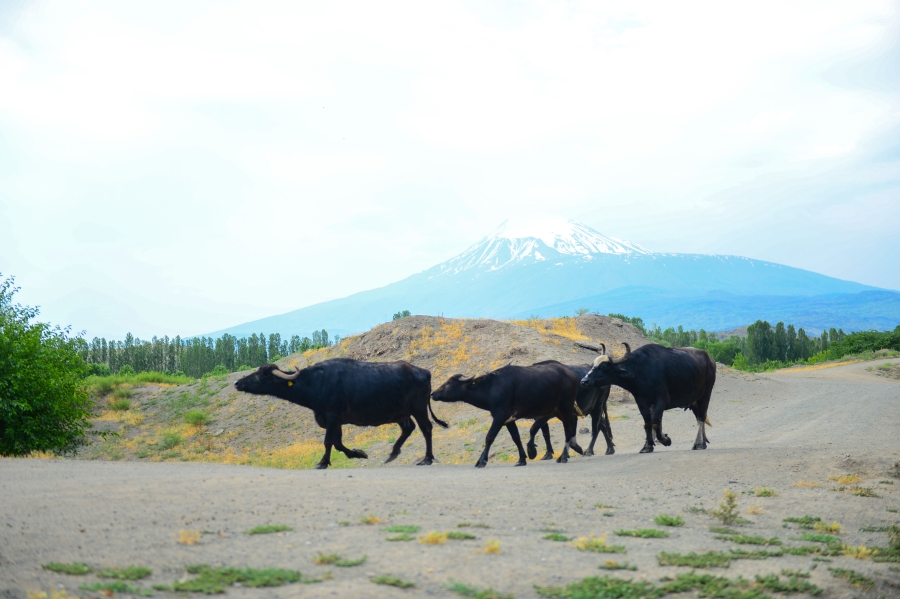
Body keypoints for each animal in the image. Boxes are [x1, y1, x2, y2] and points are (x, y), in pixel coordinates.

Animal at [234, 360, 448, 468]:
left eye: (262, 375)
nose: (237, 383)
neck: (315, 382)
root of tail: (424, 371)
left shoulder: (332, 418)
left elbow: (328, 441)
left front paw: (322, 462)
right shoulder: (336, 422)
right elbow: (337, 443)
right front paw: (358, 453)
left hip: (418, 409)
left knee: (426, 428)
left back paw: (427, 459)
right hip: (401, 413)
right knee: (408, 428)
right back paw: (392, 454)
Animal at [434, 360, 584, 468]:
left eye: (449, 383)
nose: (433, 393)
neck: (492, 388)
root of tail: (572, 374)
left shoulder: (500, 417)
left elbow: (489, 437)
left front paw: (482, 461)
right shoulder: (509, 420)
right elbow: (516, 438)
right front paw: (522, 459)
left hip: (565, 406)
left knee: (568, 429)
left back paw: (563, 456)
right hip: (558, 410)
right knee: (572, 423)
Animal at [580, 344, 712, 452]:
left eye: (603, 367)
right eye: (592, 365)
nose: (584, 381)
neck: (640, 370)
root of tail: (709, 359)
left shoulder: (661, 400)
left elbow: (655, 422)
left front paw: (665, 440)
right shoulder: (642, 402)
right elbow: (647, 423)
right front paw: (647, 446)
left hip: (705, 396)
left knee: (701, 418)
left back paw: (700, 444)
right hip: (694, 402)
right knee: (699, 418)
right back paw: (701, 443)